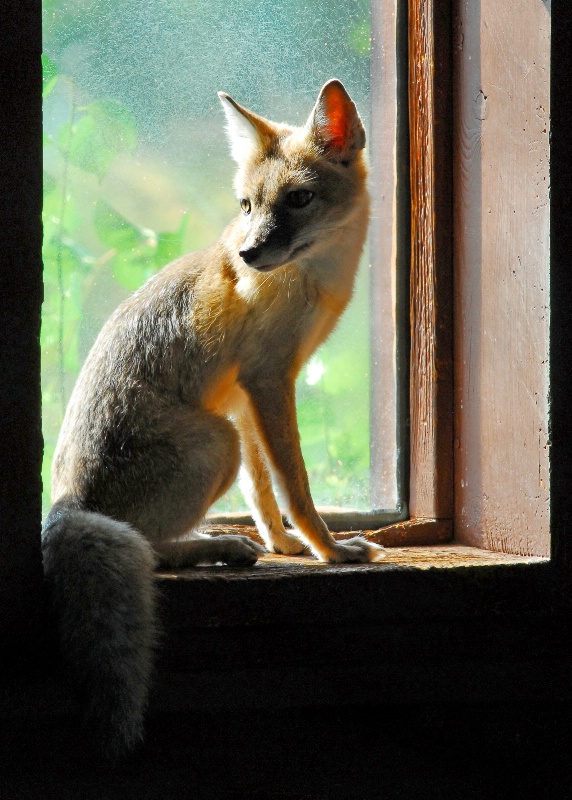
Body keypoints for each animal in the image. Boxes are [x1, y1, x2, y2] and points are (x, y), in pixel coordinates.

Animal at [42, 79, 384, 756]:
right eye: (247, 205)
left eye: (298, 200)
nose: (248, 255)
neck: (316, 281)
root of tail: (66, 504)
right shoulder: (267, 383)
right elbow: (295, 484)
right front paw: (328, 550)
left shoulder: (247, 396)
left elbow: (263, 491)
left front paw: (284, 547)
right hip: (215, 442)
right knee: (151, 549)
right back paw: (217, 546)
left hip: (223, 433)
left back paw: (227, 546)